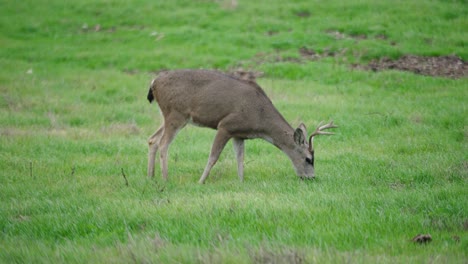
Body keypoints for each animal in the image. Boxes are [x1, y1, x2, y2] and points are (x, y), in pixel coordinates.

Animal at [146, 69, 336, 184]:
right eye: (308, 159)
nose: (311, 177)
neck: (259, 118)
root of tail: (154, 82)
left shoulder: (239, 134)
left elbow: (240, 158)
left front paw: (241, 182)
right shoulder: (225, 125)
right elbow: (213, 157)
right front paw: (201, 181)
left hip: (170, 116)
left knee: (152, 139)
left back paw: (151, 176)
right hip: (176, 114)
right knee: (163, 143)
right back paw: (165, 178)